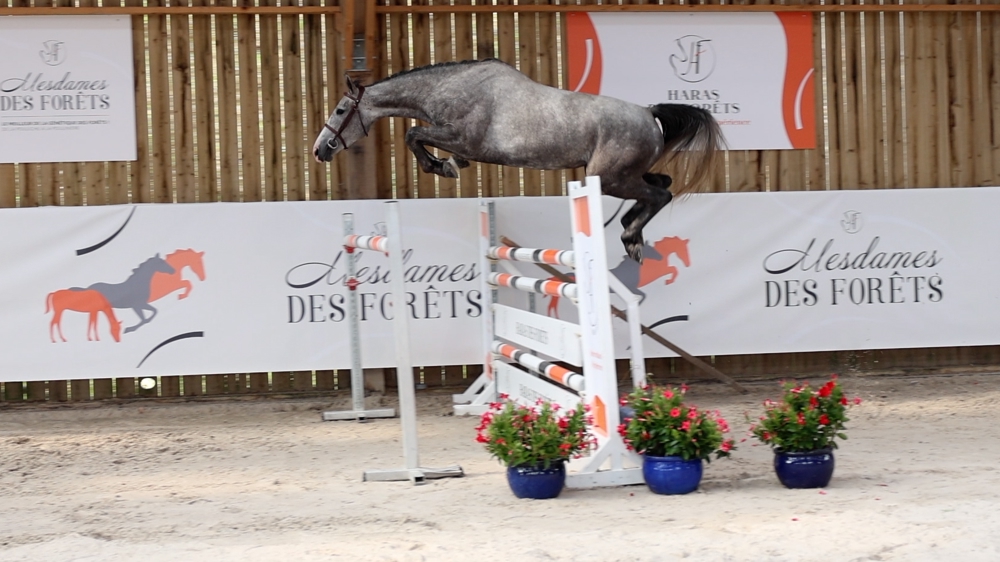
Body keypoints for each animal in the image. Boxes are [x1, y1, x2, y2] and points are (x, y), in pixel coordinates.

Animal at [308, 59, 724, 262]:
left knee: (660, 194)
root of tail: (649, 114)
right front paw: (451, 165)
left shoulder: (462, 137)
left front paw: (441, 167)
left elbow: (413, 134)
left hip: (608, 177)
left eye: (341, 109)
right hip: (621, 174)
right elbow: (422, 138)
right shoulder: (460, 141)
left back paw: (630, 237)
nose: (320, 149)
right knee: (661, 185)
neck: (449, 88)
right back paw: (631, 233)